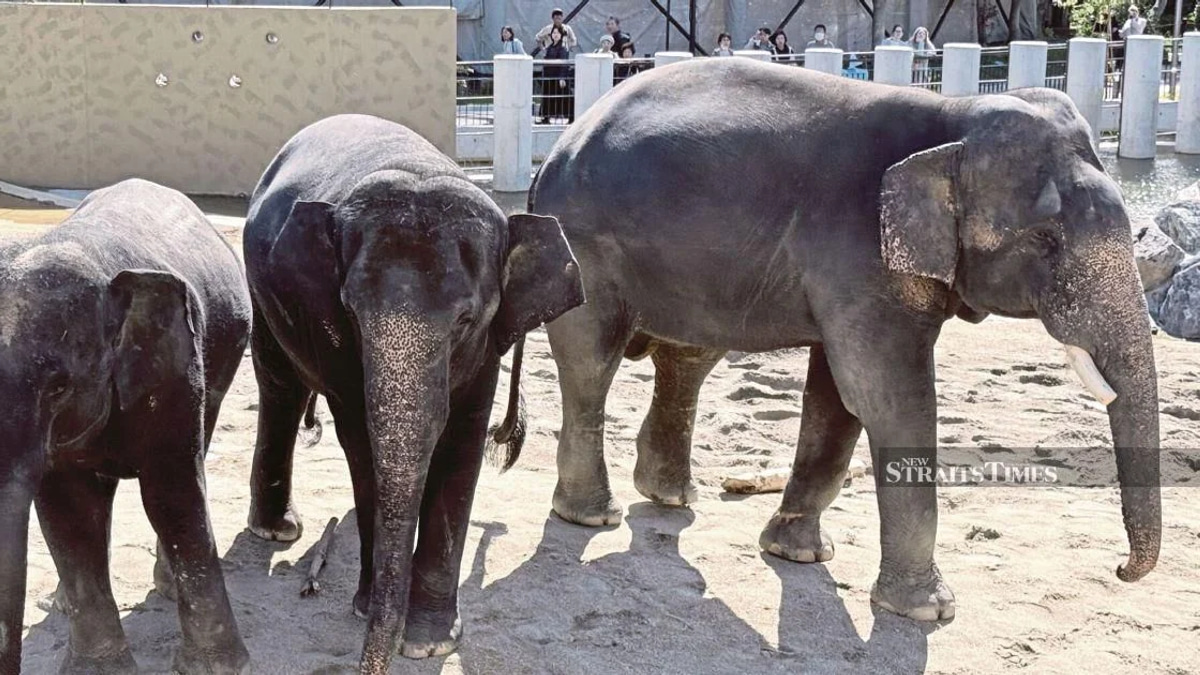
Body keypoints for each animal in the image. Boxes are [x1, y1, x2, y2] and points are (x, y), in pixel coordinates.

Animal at [0, 179, 252, 674]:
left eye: (59, 387)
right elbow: (68, 512)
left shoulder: (175, 368)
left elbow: (172, 494)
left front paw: (220, 669)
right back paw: (59, 604)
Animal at [241, 114, 584, 673]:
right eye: (351, 312)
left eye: (466, 320)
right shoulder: (331, 332)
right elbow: (360, 443)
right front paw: (369, 610)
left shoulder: (484, 351)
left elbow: (464, 442)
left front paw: (428, 642)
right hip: (260, 292)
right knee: (280, 385)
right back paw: (278, 531)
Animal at [529, 57, 1161, 622]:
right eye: (1046, 239)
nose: (1120, 570)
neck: (951, 118)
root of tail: (562, 142)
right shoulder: (857, 251)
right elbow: (888, 396)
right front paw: (926, 611)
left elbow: (840, 394)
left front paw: (799, 553)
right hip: (586, 242)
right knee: (592, 361)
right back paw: (592, 516)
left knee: (690, 357)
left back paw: (670, 497)